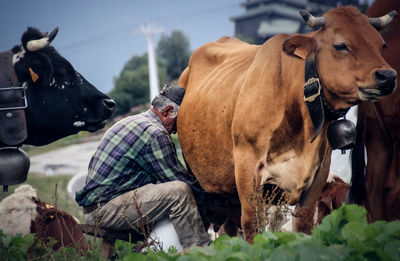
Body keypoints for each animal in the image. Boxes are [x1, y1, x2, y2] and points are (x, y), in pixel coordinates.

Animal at [179, 5, 396, 240]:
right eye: (340, 45)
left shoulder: (320, 171)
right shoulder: (247, 167)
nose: (388, 76)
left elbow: (303, 222)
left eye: (381, 45)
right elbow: (253, 224)